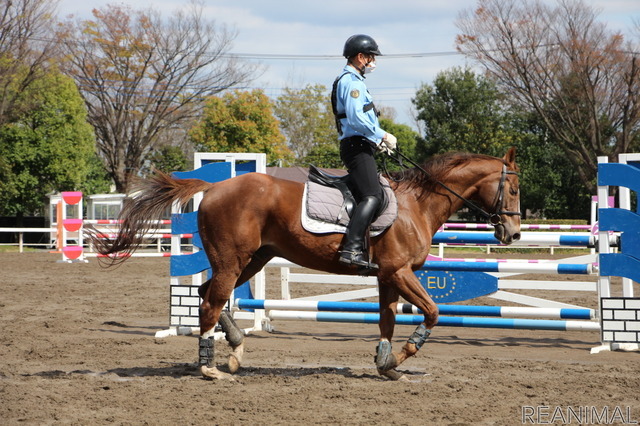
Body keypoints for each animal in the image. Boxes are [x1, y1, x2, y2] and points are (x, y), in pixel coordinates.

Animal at [91, 148, 520, 382]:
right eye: (514, 188)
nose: (513, 233)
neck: (417, 205)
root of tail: (214, 186)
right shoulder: (399, 272)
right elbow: (431, 312)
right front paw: (402, 356)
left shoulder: (387, 276)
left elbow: (387, 319)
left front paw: (386, 363)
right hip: (234, 259)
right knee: (212, 300)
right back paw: (209, 367)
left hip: (253, 258)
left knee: (206, 292)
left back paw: (236, 347)